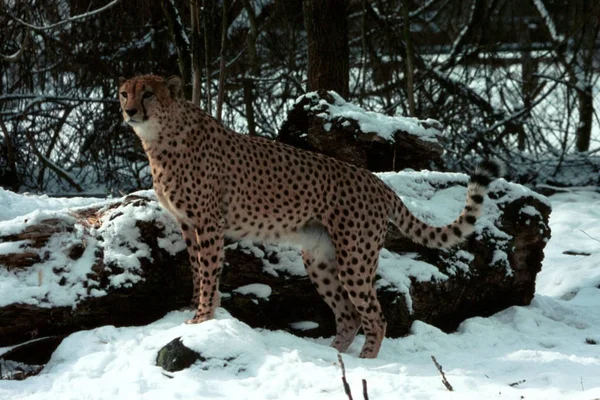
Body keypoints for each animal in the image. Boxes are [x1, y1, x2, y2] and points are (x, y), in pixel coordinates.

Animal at [118, 75, 502, 360]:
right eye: (124, 93)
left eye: (148, 93)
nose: (130, 110)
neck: (161, 137)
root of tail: (379, 183)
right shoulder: (188, 224)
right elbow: (198, 271)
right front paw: (199, 316)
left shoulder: (208, 224)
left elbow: (209, 271)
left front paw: (202, 319)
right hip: (319, 259)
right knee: (349, 315)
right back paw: (334, 357)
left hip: (355, 258)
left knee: (374, 316)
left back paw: (365, 363)